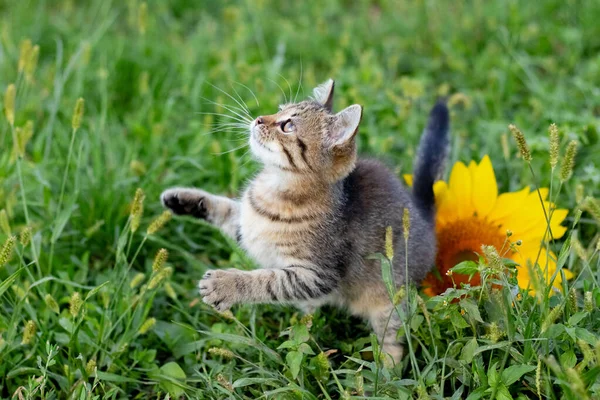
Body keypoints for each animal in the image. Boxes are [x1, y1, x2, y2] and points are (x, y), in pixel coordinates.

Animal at [162, 79, 448, 364]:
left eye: (287, 126)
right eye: (279, 110)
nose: (258, 119)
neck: (274, 191)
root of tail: (422, 215)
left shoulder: (317, 274)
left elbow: (267, 280)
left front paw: (225, 285)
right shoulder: (246, 226)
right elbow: (223, 207)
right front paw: (182, 199)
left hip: (390, 302)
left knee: (395, 341)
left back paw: (386, 371)